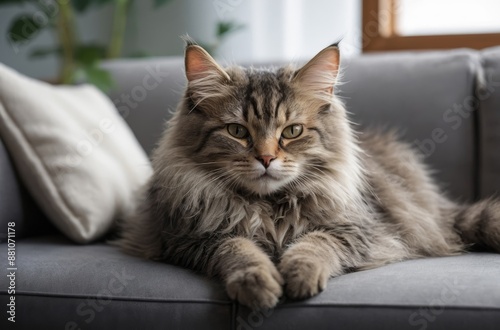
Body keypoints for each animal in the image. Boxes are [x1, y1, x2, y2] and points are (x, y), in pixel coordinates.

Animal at [120, 40, 500, 310]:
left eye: (292, 131)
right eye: (237, 131)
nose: (266, 158)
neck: (267, 207)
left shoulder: (358, 229)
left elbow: (315, 244)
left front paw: (299, 276)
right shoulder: (188, 239)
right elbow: (238, 249)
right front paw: (258, 284)